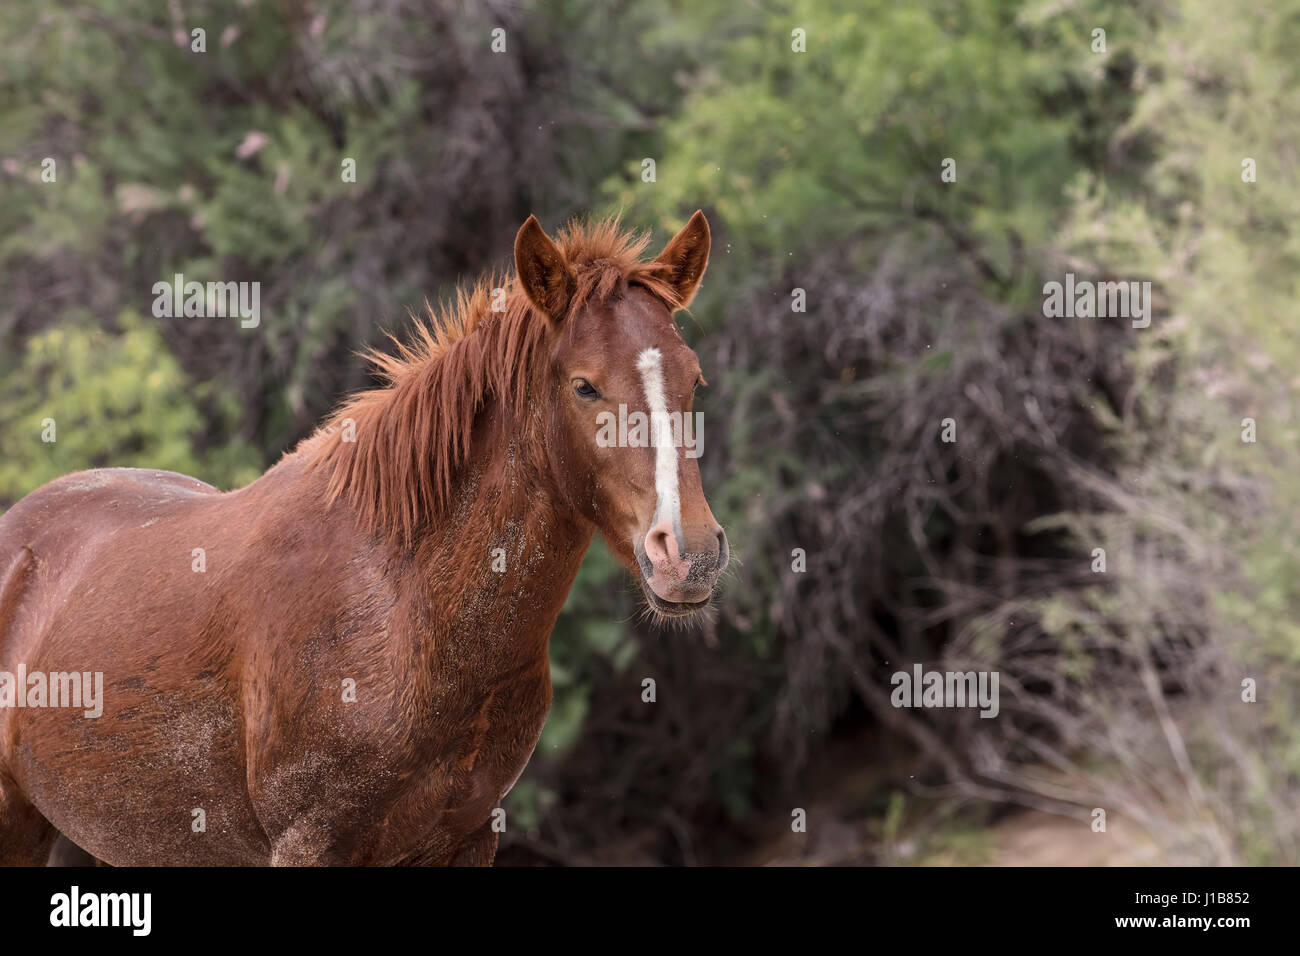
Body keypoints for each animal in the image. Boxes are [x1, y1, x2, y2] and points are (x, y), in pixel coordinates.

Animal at [0, 210, 733, 868]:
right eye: (584, 386)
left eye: (693, 380)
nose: (688, 555)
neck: (401, 606)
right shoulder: (308, 844)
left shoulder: (467, 840)